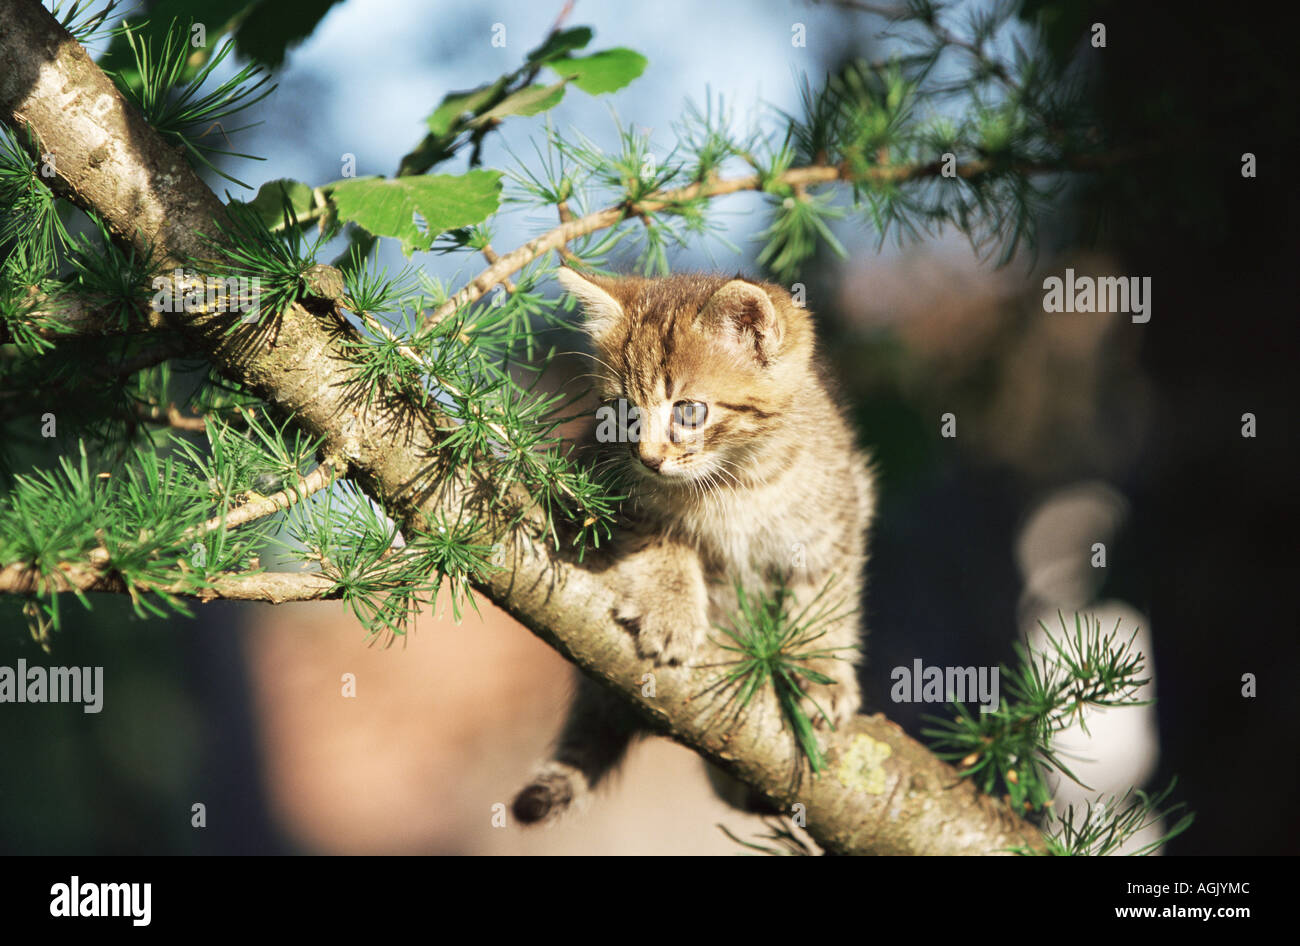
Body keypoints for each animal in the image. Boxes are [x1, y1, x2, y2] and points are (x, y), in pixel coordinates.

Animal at [506, 263, 873, 821]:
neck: (736, 483)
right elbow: (656, 537)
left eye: (688, 411)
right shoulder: (598, 482)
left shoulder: (837, 516)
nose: (647, 458)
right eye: (623, 413)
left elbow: (824, 599)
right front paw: (671, 608)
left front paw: (818, 670)